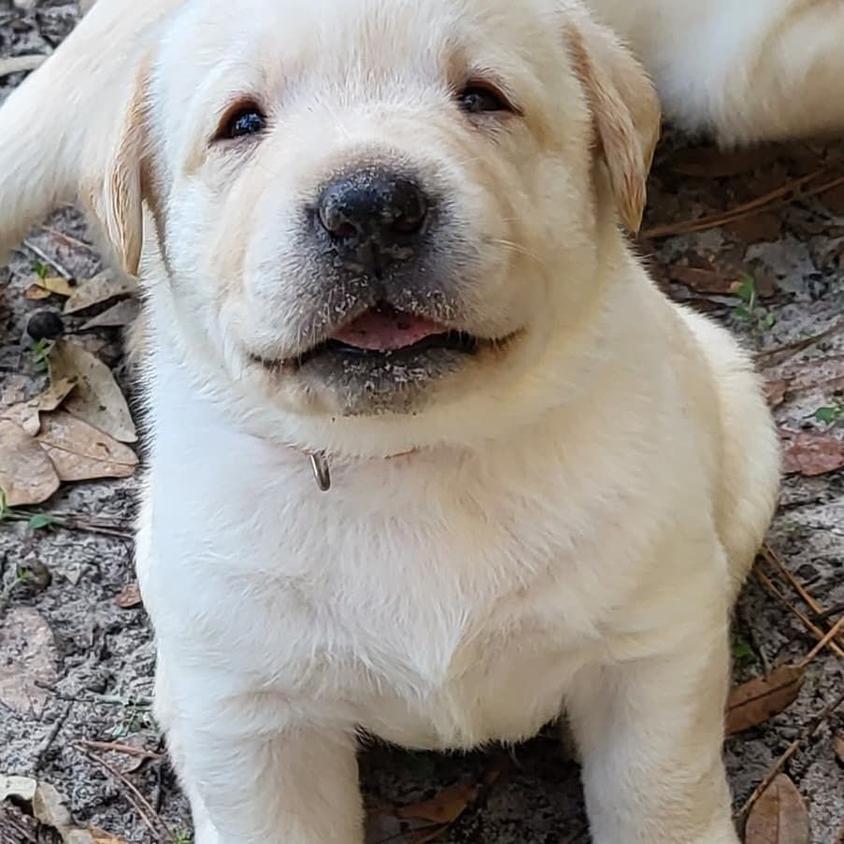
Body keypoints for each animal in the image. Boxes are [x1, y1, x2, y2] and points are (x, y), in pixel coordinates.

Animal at [0, 1, 780, 844]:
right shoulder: (253, 713)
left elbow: (658, 793)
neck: (409, 457)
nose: (369, 206)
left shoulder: (651, 646)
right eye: (242, 122)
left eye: (483, 97)